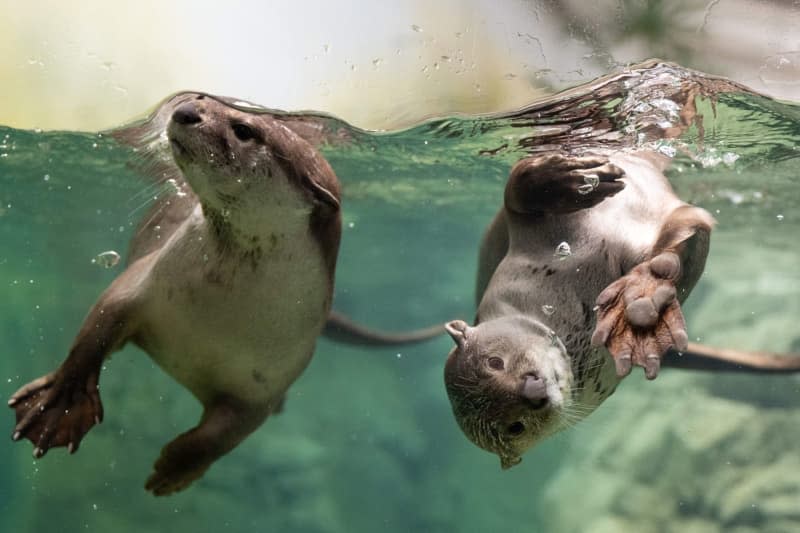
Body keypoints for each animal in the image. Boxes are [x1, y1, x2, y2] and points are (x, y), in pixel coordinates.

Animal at [6, 94, 440, 494]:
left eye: (244, 129)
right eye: (201, 99)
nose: (183, 109)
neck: (219, 307)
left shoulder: (265, 385)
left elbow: (225, 434)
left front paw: (176, 468)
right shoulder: (140, 284)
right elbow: (93, 336)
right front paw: (57, 406)